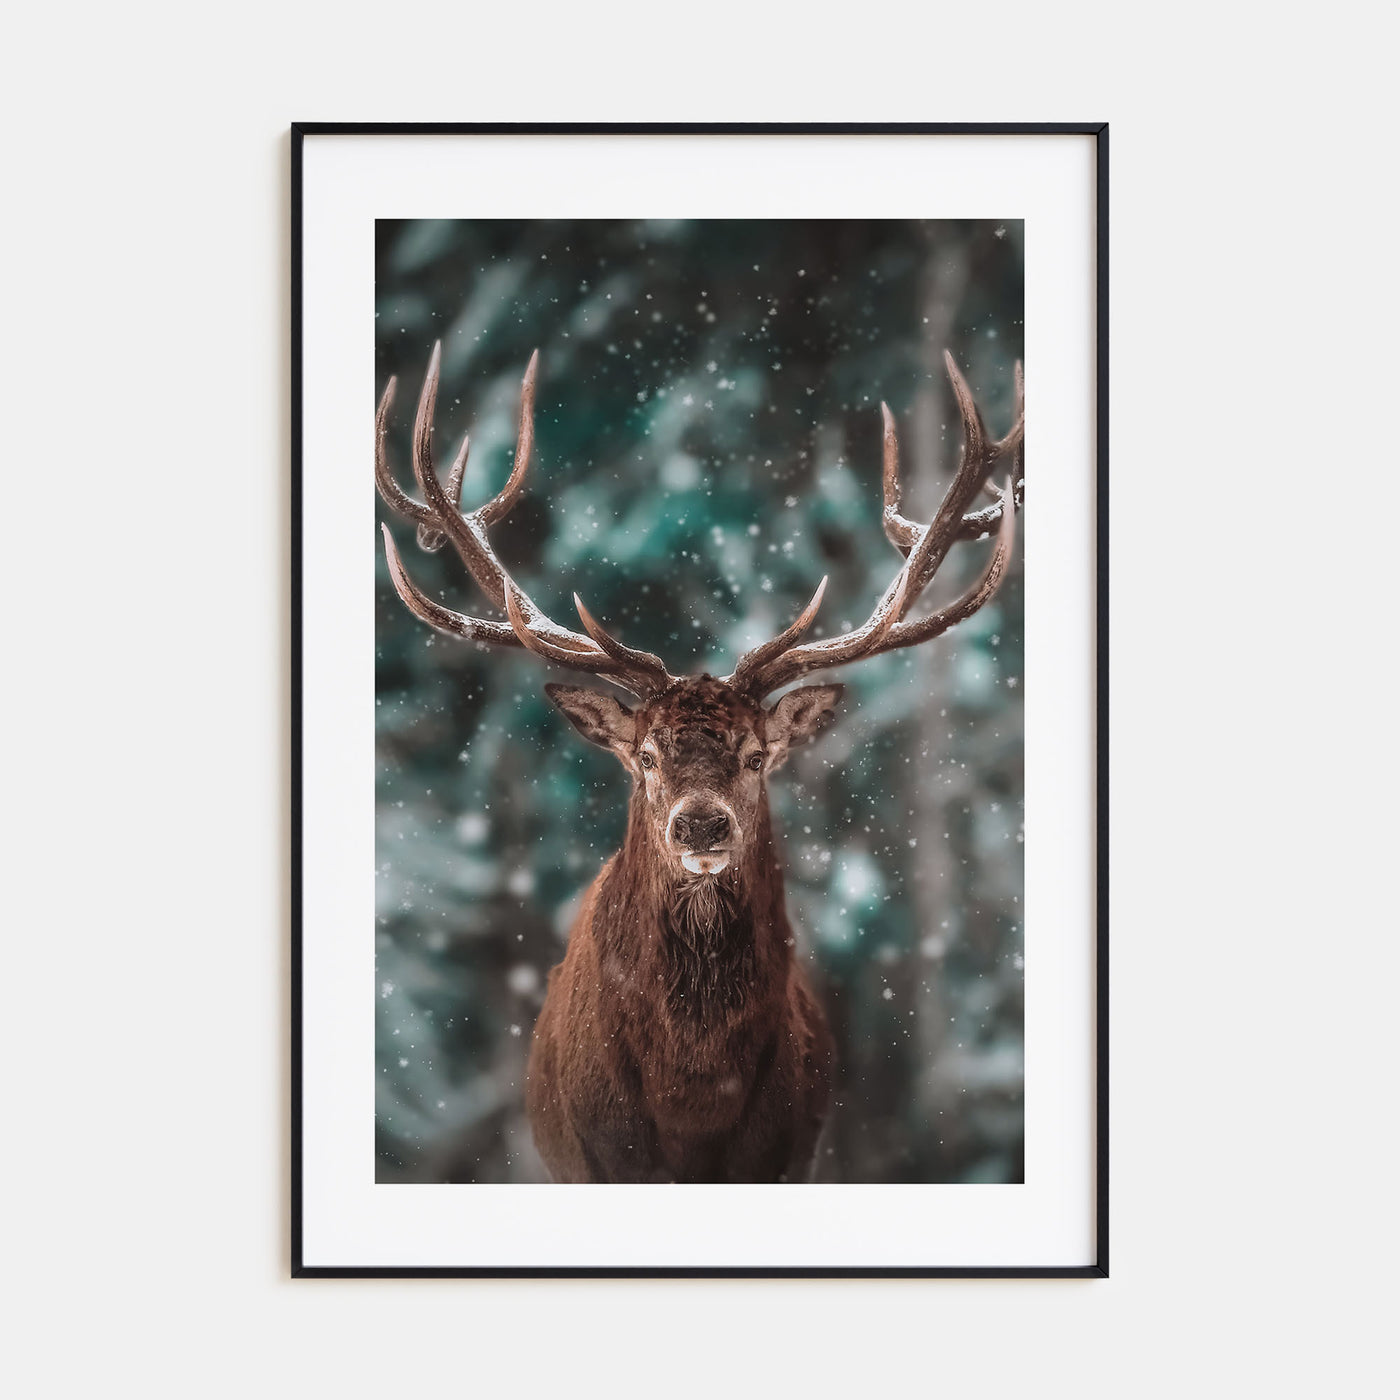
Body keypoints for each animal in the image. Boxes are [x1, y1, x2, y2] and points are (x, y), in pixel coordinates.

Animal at [375, 340, 1024, 1182]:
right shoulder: (596, 1163)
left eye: (754, 756)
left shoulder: (788, 1158)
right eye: (647, 757)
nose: (703, 826)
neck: (693, 1106)